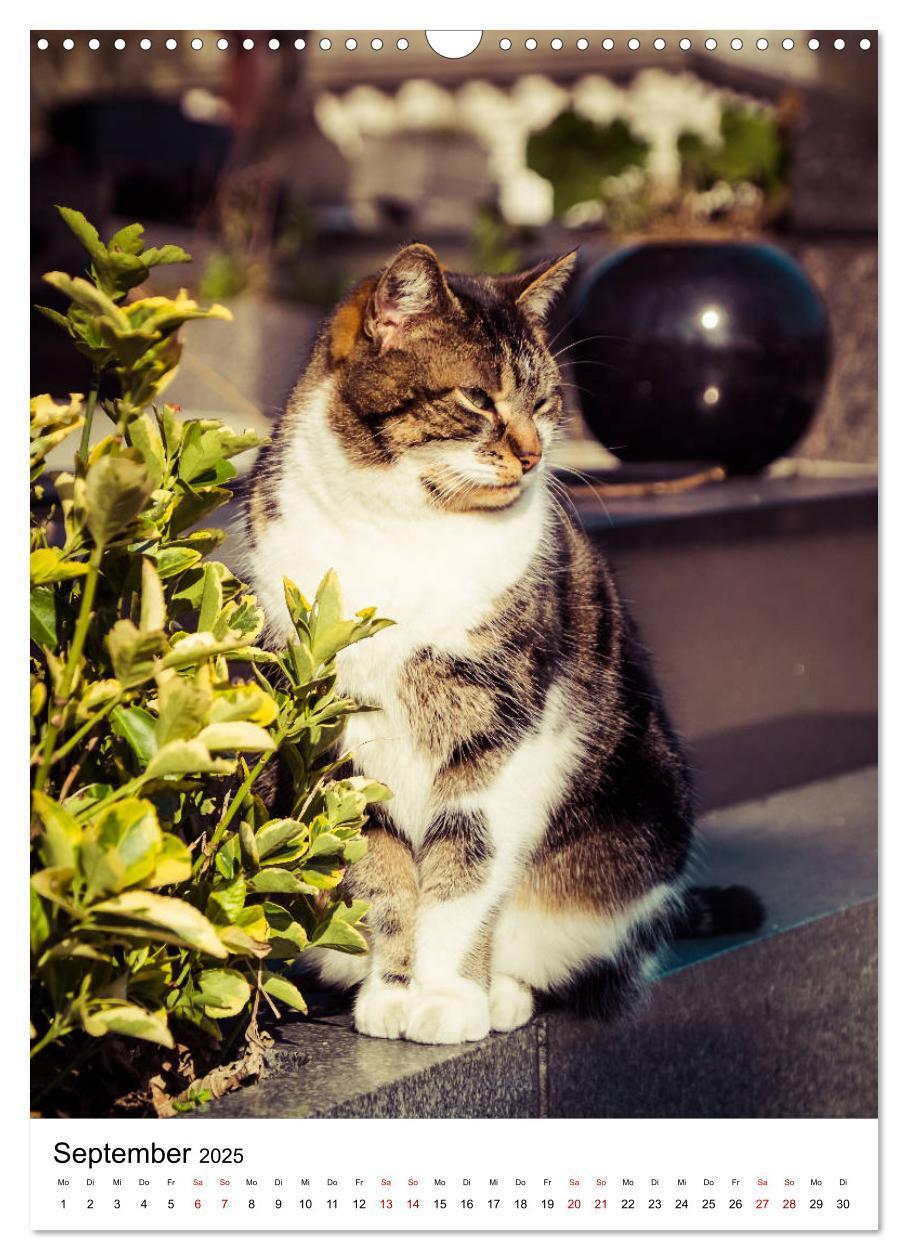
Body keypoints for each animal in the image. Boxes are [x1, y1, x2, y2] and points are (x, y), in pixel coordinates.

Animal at [236, 243, 745, 1043]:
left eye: (546, 403)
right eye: (477, 399)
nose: (534, 454)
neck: (401, 536)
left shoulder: (499, 734)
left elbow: (464, 869)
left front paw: (446, 997)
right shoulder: (339, 743)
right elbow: (383, 875)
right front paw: (393, 993)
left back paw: (502, 992)